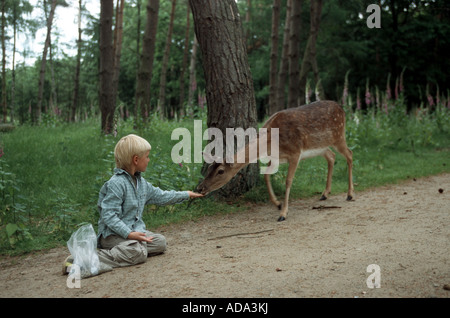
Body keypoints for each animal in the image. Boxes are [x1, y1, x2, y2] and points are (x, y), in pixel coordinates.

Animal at [197, 100, 356, 221]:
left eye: (221, 171)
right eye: (209, 168)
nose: (200, 188)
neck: (270, 142)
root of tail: (342, 109)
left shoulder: (295, 152)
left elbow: (288, 181)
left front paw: (283, 213)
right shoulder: (275, 158)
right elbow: (266, 176)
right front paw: (277, 204)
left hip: (339, 136)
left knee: (349, 154)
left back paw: (350, 194)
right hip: (321, 146)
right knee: (331, 156)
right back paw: (324, 194)